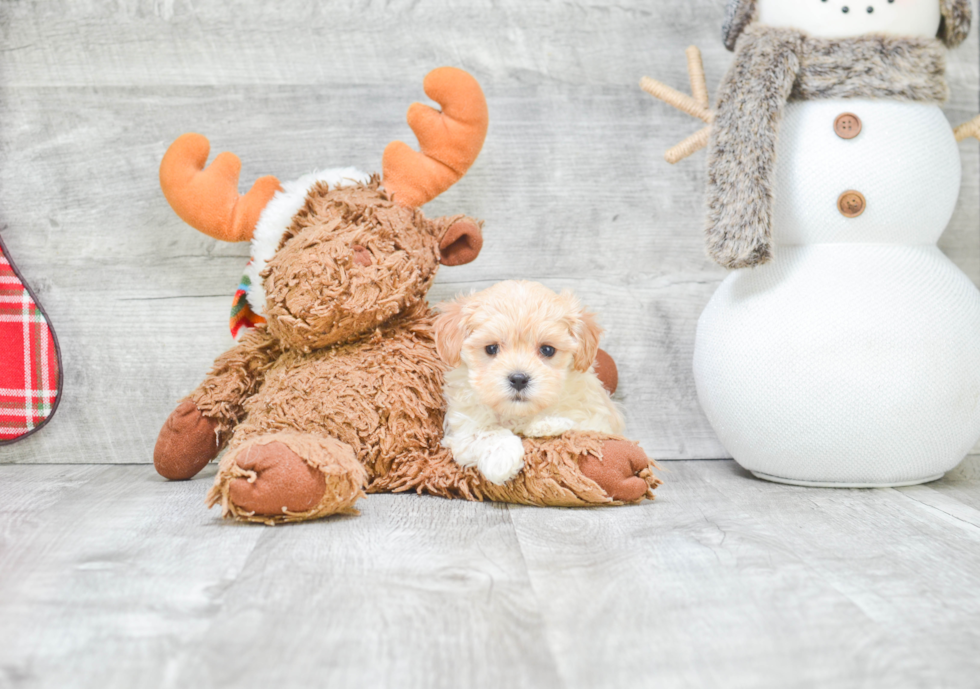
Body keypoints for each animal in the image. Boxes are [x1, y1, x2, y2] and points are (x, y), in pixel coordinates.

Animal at [434, 280, 624, 484]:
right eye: (491, 348)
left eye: (547, 350)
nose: (518, 379)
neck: (519, 414)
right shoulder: (462, 425)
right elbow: (485, 432)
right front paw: (501, 459)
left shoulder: (597, 420)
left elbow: (579, 424)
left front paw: (546, 424)